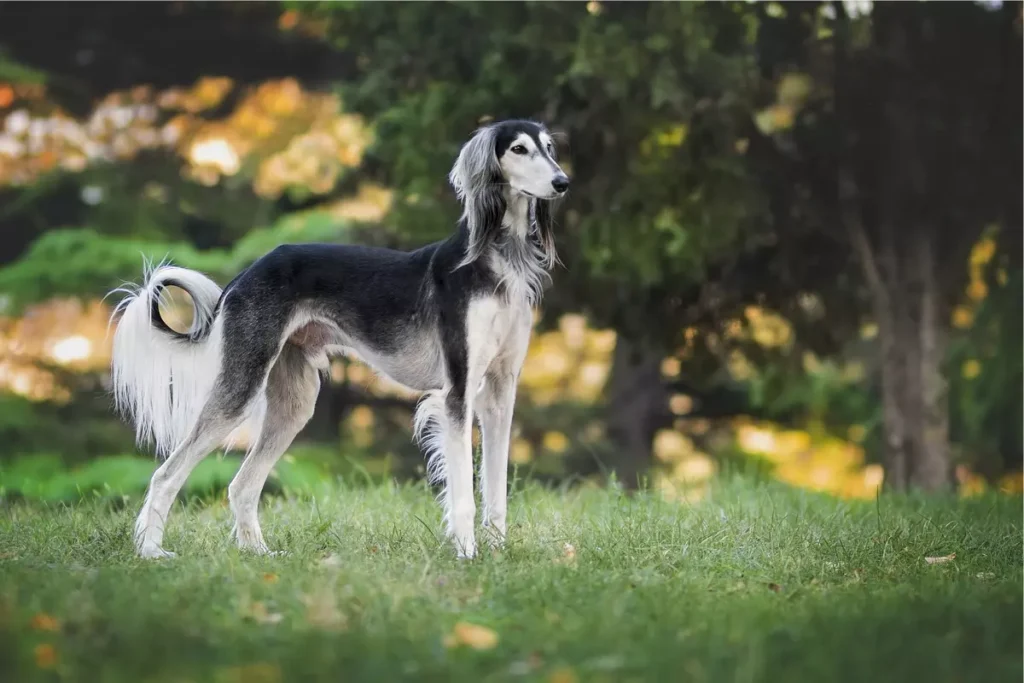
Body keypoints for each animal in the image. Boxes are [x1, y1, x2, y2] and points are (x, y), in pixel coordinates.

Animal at [114, 120, 577, 557]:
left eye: (548, 148)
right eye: (518, 149)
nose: (562, 182)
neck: (495, 259)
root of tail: (247, 272)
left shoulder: (499, 392)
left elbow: (496, 489)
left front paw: (496, 552)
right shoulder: (457, 392)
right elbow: (464, 489)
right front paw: (466, 554)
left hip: (294, 403)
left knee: (242, 485)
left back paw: (259, 553)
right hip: (241, 385)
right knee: (166, 473)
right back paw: (151, 551)